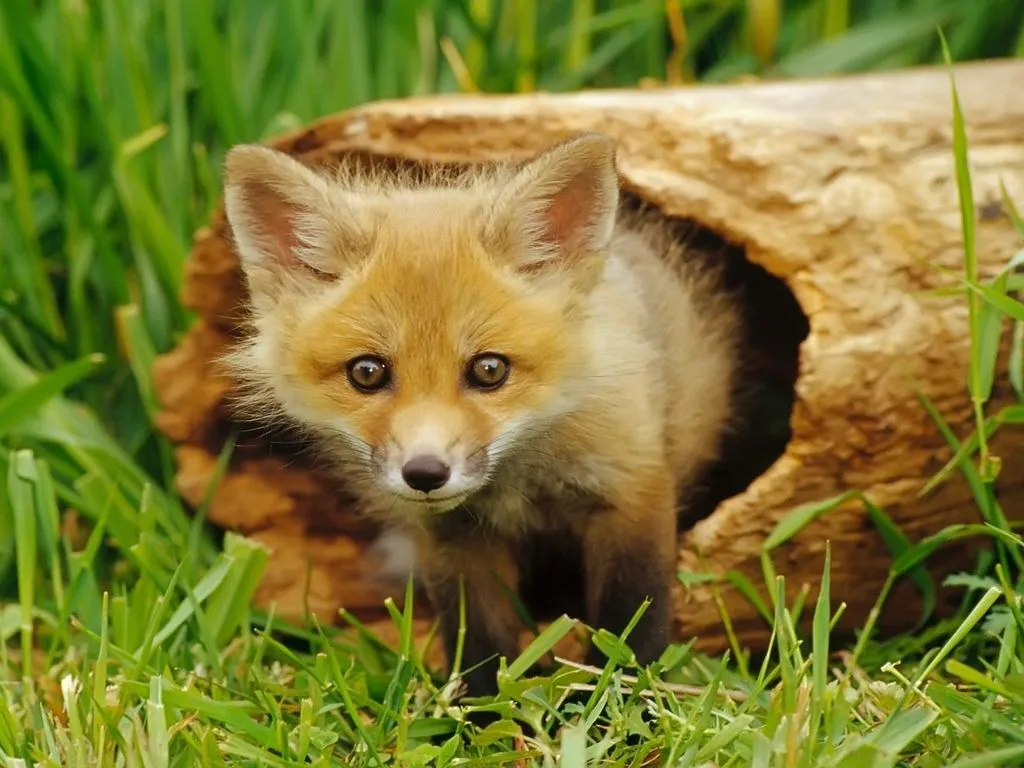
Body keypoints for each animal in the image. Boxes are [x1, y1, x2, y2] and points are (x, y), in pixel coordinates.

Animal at [220, 134, 741, 704]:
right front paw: (485, 714)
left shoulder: (630, 491)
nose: (425, 473)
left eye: (489, 370)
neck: (519, 483)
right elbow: (481, 647)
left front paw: (620, 709)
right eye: (367, 372)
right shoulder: (454, 539)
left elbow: (630, 629)